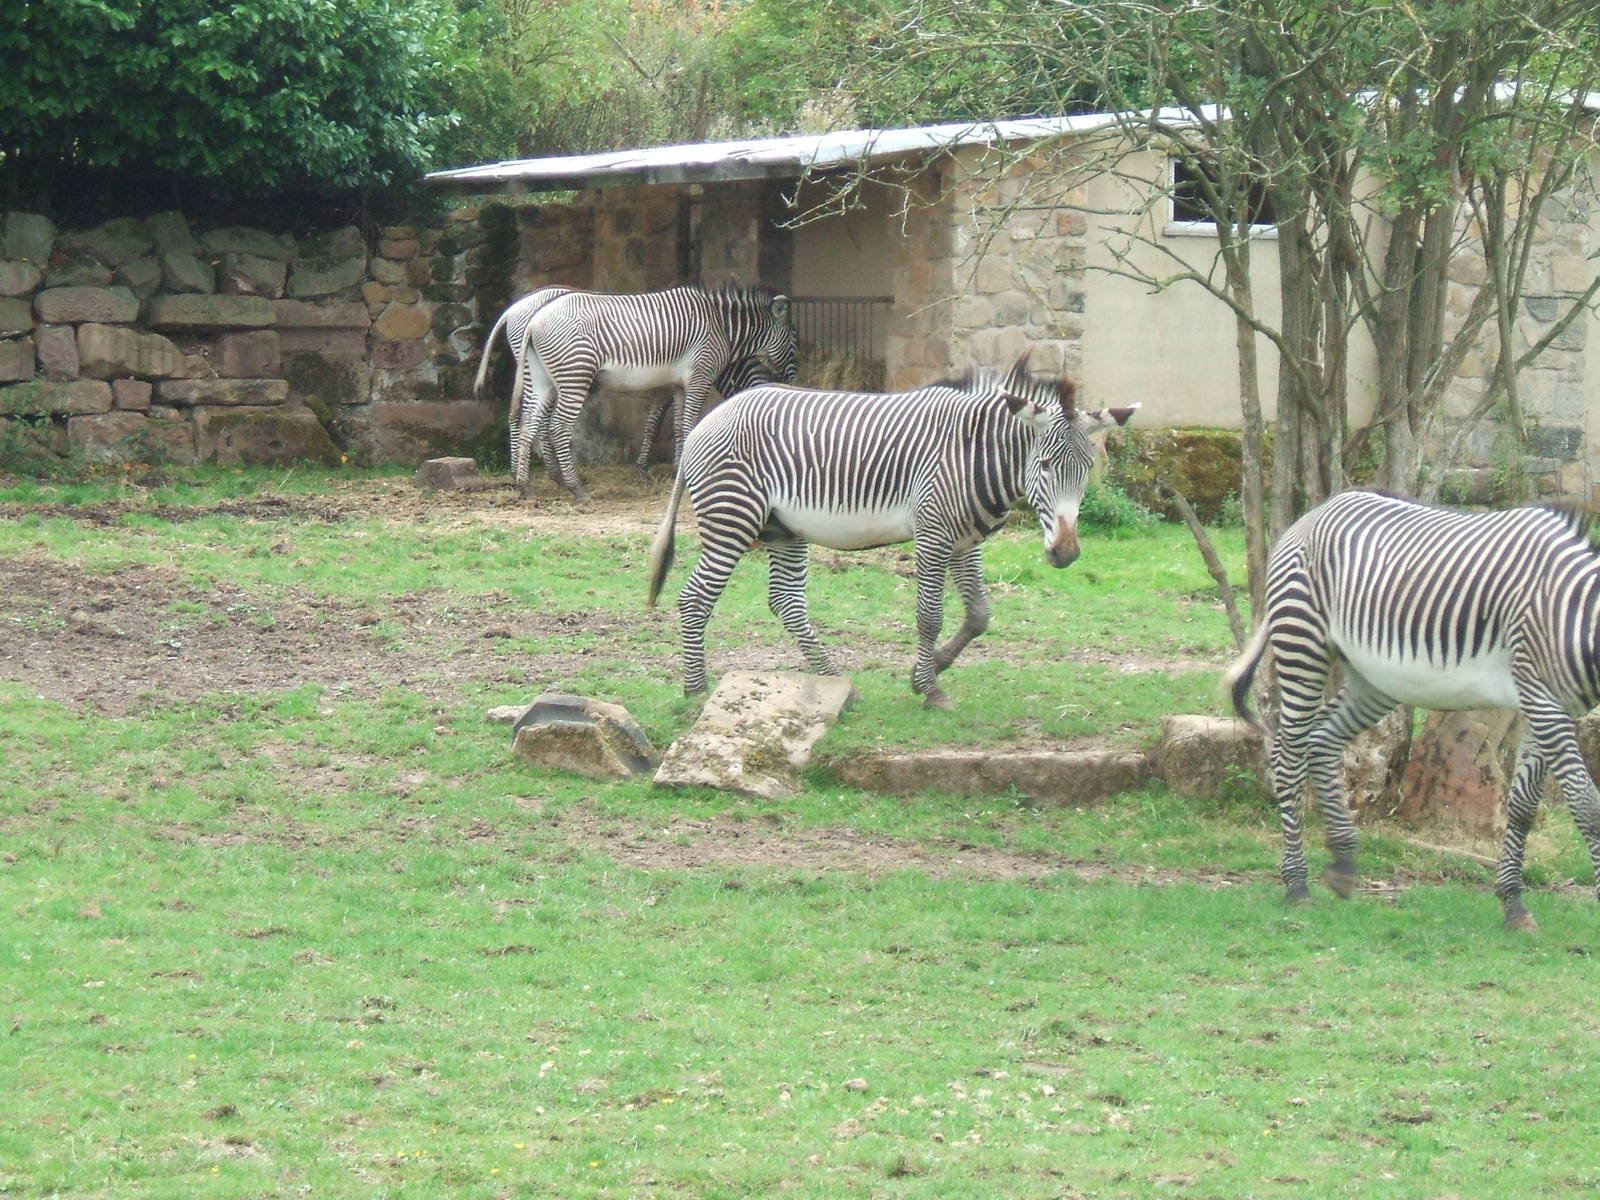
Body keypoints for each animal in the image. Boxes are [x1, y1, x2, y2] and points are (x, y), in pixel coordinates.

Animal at [512, 284, 798, 502]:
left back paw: (525, 487)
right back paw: (576, 489)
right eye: (795, 341)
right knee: (557, 427)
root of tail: (534, 320)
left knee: (529, 422)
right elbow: (687, 426)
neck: (723, 329)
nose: (795, 380)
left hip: (542, 378)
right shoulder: (699, 377)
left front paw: (678, 471)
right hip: (574, 375)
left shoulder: (679, 385)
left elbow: (679, 427)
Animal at [645, 355, 1137, 707]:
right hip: (733, 517)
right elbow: (930, 616)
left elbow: (979, 614)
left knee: (785, 602)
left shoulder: (967, 542)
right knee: (696, 599)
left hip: (784, 528)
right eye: (1046, 465)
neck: (973, 453)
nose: (1066, 553)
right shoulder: (935, 535)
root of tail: (709, 420)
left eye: (1087, 469)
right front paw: (930, 688)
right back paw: (696, 690)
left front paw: (933, 667)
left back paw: (835, 681)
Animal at [1223, 487, 1600, 930]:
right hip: (1302, 641)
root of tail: (1315, 512)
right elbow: (1586, 803)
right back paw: (1297, 886)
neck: (1572, 614)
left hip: (1373, 678)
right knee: (1289, 760)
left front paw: (1513, 904)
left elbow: (1523, 806)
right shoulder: (1542, 699)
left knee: (1322, 741)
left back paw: (1342, 865)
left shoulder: (1552, 704)